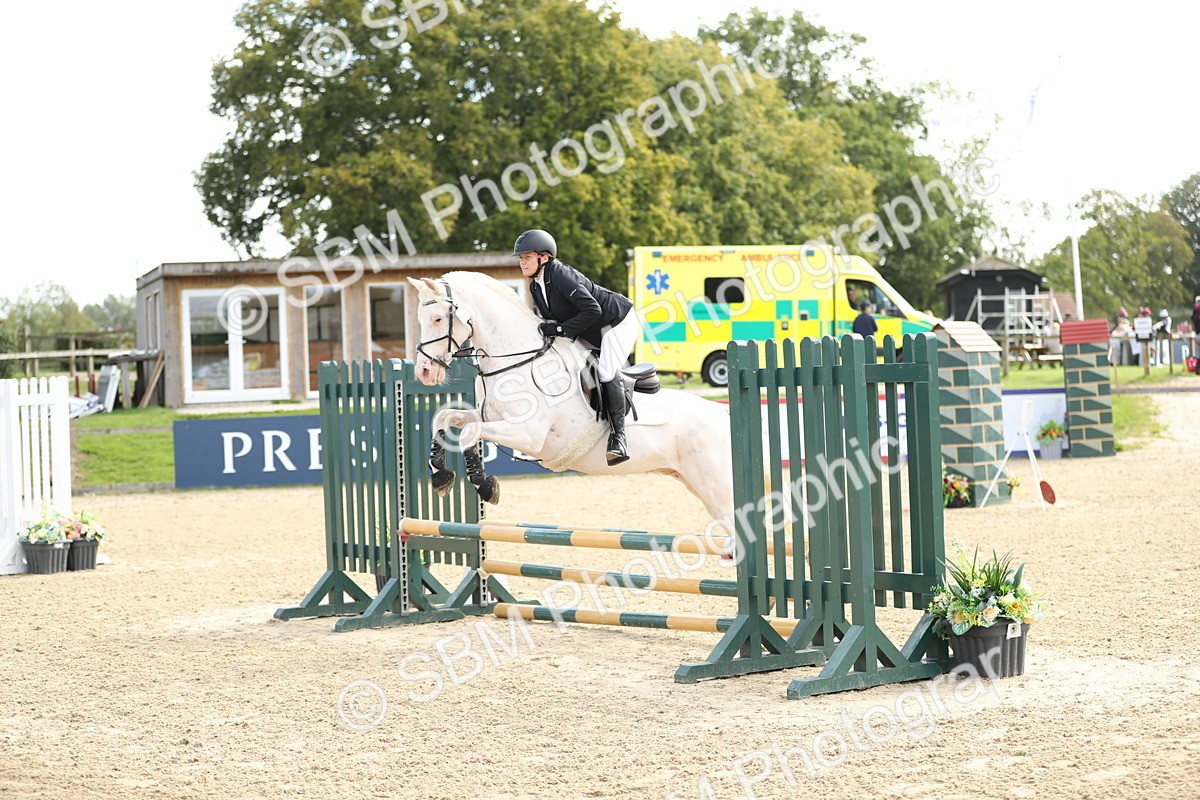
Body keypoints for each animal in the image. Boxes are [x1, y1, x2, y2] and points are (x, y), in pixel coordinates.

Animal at [406, 272, 734, 524]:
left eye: (438, 318)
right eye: (420, 318)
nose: (424, 372)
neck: (517, 359)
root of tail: (722, 415)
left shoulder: (529, 434)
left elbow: (469, 433)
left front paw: (485, 485)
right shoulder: (494, 417)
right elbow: (446, 417)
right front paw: (440, 474)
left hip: (717, 487)